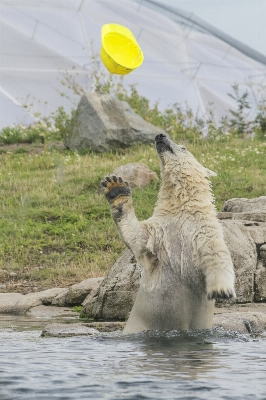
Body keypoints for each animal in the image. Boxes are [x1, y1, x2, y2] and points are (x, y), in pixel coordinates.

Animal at [101, 133, 235, 332]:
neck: (182, 210)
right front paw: (116, 189)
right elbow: (137, 235)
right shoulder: (159, 230)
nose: (160, 135)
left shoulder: (204, 230)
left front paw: (221, 290)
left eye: (183, 147)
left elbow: (215, 253)